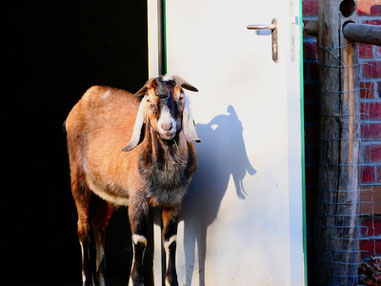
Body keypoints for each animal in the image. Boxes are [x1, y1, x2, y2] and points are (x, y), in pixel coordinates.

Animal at [65, 76, 200, 286]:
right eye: (149, 100)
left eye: (180, 97)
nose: (167, 127)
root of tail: (89, 94)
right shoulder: (138, 198)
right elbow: (140, 240)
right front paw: (135, 280)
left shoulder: (174, 201)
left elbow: (171, 241)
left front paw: (172, 281)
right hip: (79, 179)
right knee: (84, 228)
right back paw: (87, 279)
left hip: (108, 194)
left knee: (99, 227)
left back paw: (102, 278)